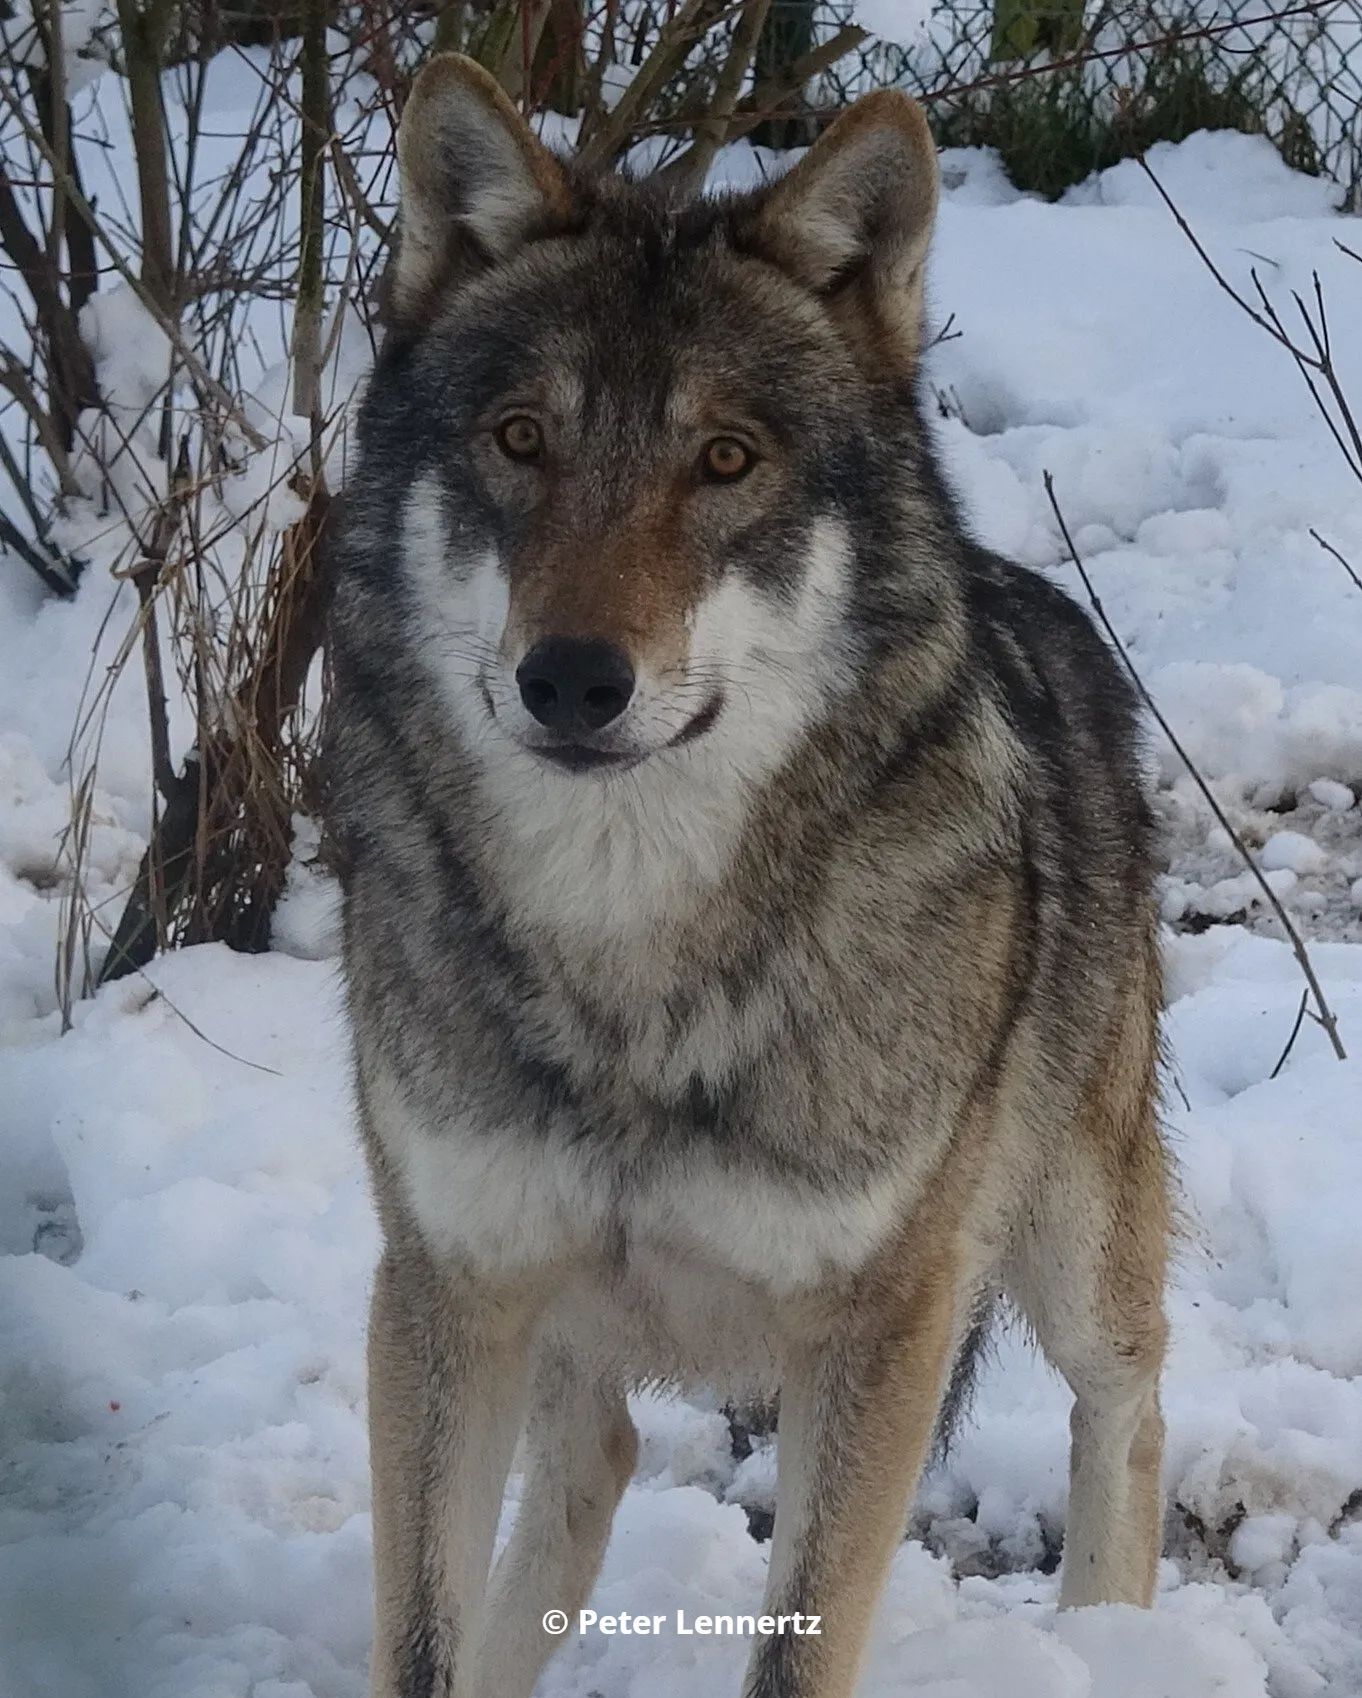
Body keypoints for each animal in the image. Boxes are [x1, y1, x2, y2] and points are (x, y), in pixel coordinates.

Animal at [327, 52, 1172, 1698]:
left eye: (725, 460)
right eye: (519, 439)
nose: (571, 680)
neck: (629, 963)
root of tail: (1029, 596)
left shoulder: (882, 1326)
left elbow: (799, 1647)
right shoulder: (444, 1287)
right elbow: (421, 1641)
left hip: (1070, 1243)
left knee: (1130, 1405)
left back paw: (1114, 1645)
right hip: (569, 1321)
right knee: (590, 1461)